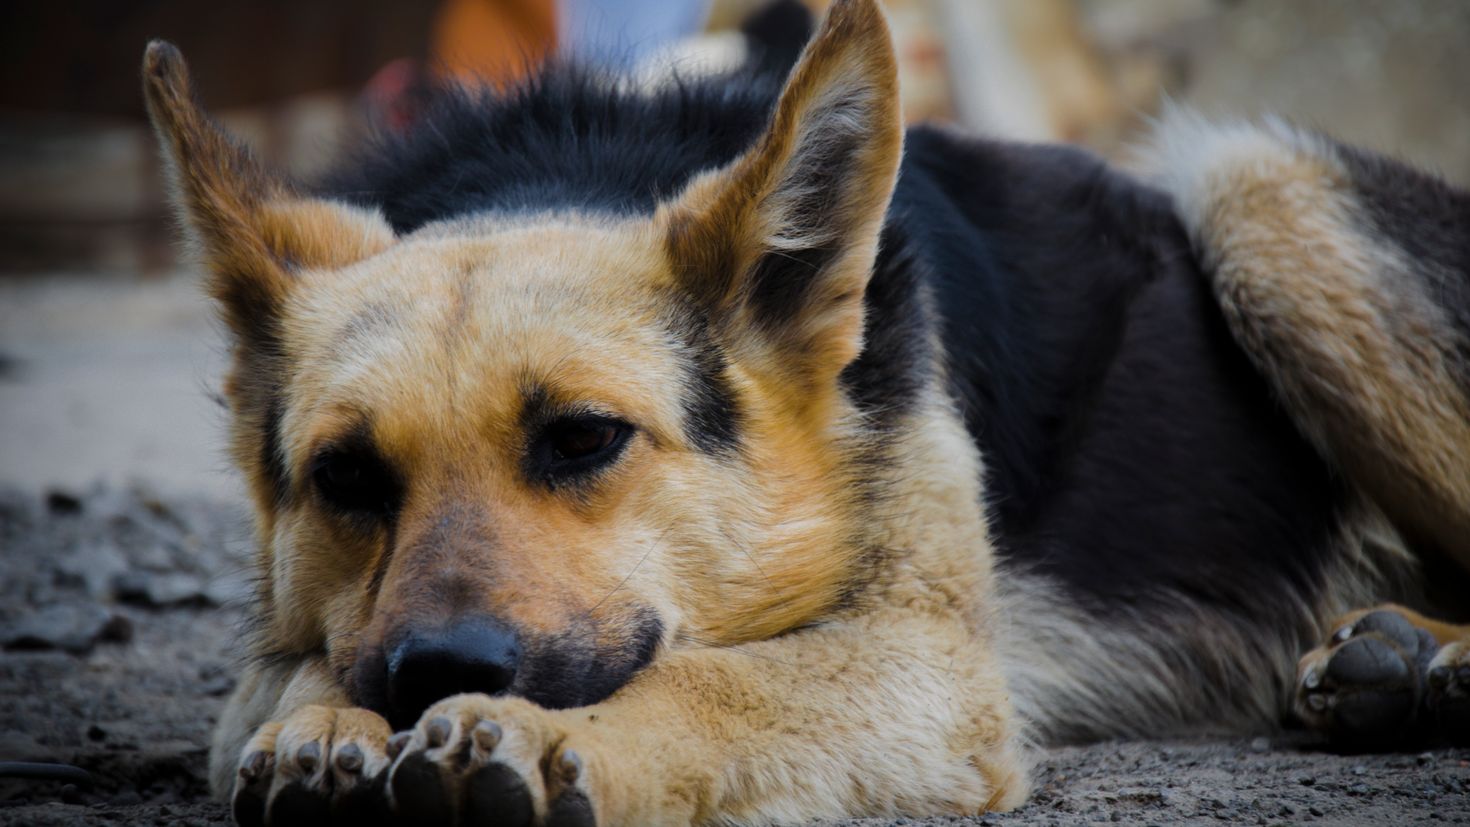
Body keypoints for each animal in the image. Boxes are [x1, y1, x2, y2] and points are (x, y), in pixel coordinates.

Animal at [140, 3, 1470, 822]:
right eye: (346, 477)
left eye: (584, 438)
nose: (437, 673)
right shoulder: (284, 649)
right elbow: (292, 673)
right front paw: (323, 729)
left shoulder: (926, 661)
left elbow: (712, 680)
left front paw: (528, 733)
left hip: (1255, 189)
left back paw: (1433, 659)